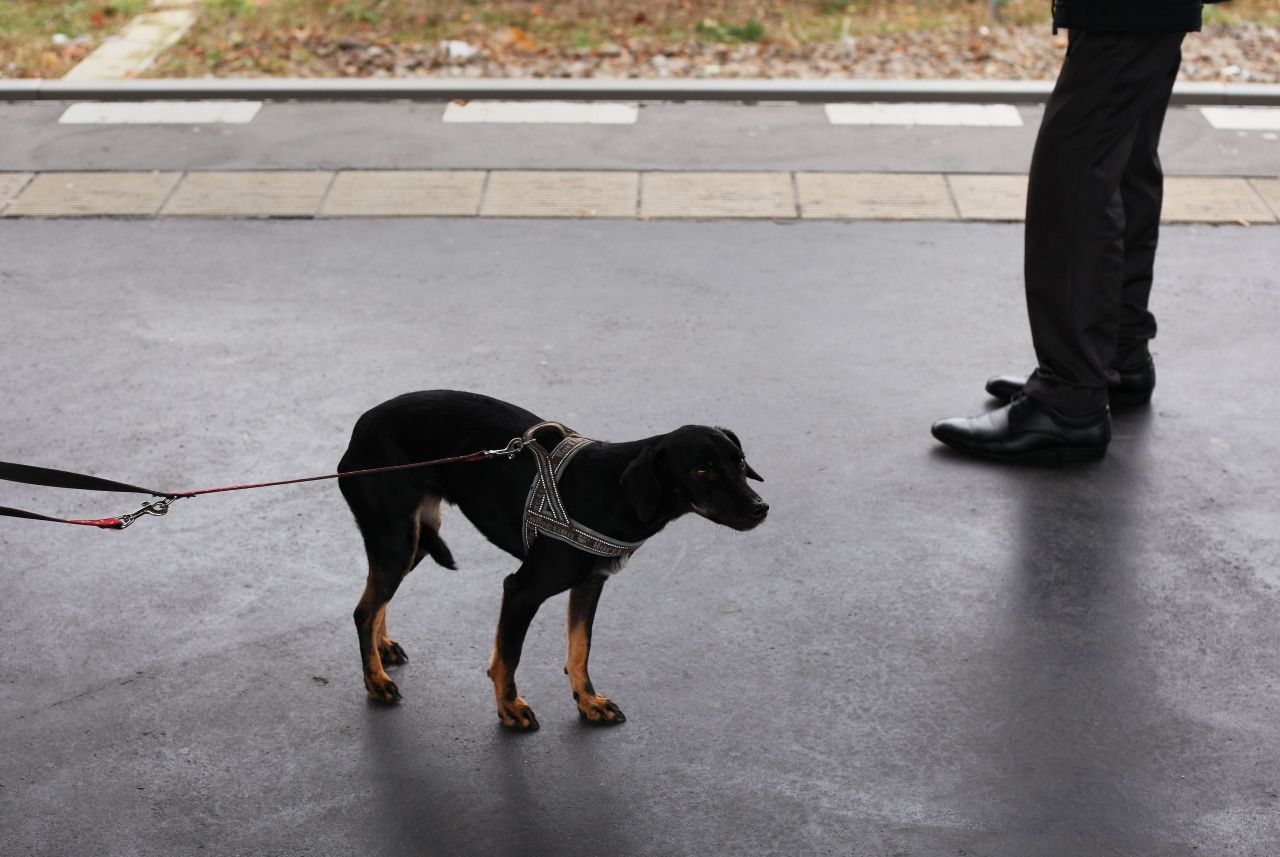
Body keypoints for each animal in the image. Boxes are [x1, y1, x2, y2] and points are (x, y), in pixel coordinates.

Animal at [335, 391, 762, 731]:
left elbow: (580, 649)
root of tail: (359, 427)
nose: (762, 508)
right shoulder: (521, 590)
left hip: (415, 539)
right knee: (363, 610)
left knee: (376, 598)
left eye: (740, 462)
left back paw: (382, 647)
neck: (615, 492)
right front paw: (510, 709)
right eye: (701, 471)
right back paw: (375, 680)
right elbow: (508, 657)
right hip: (397, 540)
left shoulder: (590, 584)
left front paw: (588, 702)